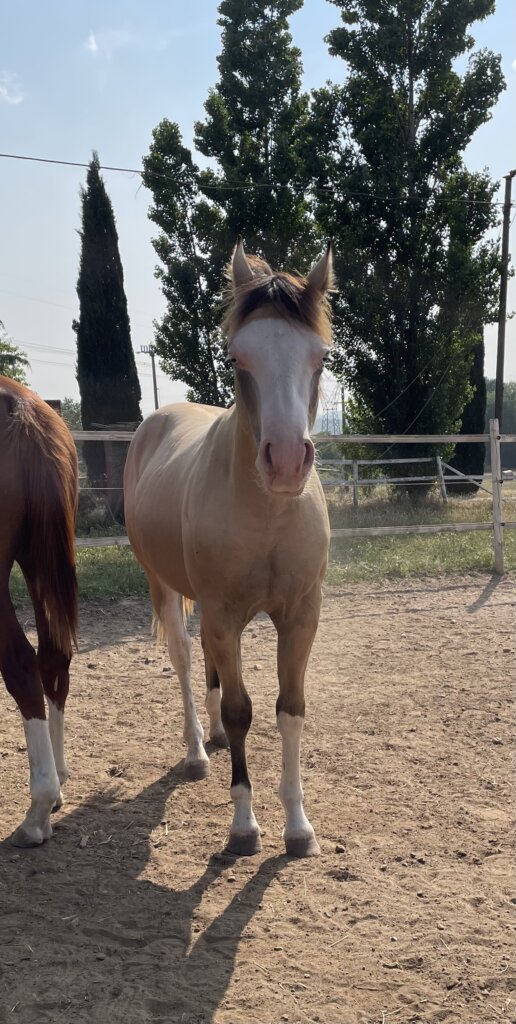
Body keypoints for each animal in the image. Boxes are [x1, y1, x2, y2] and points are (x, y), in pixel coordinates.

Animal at [124, 240, 334, 857]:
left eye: (320, 358)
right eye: (238, 357)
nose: (285, 462)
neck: (267, 515)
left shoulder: (300, 616)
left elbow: (290, 710)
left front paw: (298, 827)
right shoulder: (221, 614)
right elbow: (243, 712)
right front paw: (244, 826)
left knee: (210, 666)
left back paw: (211, 737)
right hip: (166, 589)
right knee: (185, 660)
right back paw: (197, 750)